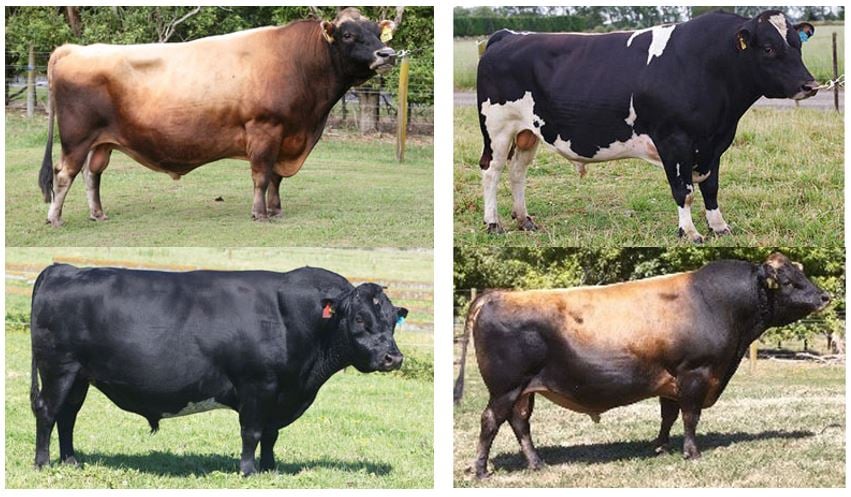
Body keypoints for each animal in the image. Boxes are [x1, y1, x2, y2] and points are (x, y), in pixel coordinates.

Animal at [30, 264, 408, 475]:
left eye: (392, 320)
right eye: (359, 319)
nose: (393, 358)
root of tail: (62, 268)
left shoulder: (280, 393)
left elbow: (270, 434)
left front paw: (270, 468)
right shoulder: (258, 385)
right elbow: (252, 432)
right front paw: (248, 471)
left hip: (80, 376)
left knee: (67, 416)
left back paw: (71, 461)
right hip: (58, 369)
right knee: (48, 412)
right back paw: (43, 463)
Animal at [39, 8, 397, 227]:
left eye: (376, 33)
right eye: (348, 35)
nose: (388, 54)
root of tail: (73, 49)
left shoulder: (286, 136)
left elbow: (276, 178)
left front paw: (276, 209)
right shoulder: (265, 130)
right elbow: (262, 175)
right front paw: (260, 213)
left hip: (102, 141)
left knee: (92, 175)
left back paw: (98, 214)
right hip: (76, 138)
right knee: (64, 174)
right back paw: (55, 218)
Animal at [454, 253, 830, 478]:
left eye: (801, 273)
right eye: (789, 281)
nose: (824, 297)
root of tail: (497, 294)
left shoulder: (671, 379)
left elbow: (669, 415)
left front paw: (660, 447)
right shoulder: (695, 373)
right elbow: (690, 416)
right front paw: (692, 453)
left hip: (524, 389)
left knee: (520, 423)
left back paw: (537, 464)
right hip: (506, 387)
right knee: (491, 421)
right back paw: (481, 470)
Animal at [476, 10, 819, 242]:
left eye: (797, 45)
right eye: (768, 48)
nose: (810, 85)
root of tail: (509, 35)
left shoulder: (714, 143)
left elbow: (710, 187)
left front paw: (719, 226)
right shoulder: (674, 140)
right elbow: (684, 190)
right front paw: (689, 232)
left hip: (527, 132)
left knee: (517, 172)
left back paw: (524, 219)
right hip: (497, 129)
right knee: (491, 170)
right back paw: (493, 223)